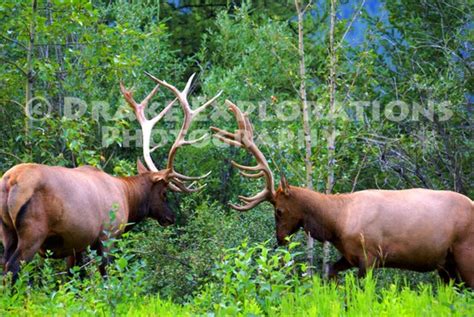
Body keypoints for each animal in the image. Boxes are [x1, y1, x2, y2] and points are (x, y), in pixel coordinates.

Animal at [0, 73, 222, 280]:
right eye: (164, 193)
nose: (171, 217)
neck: (127, 197)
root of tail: (11, 182)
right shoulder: (108, 235)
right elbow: (105, 275)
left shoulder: (76, 245)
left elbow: (74, 278)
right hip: (33, 231)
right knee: (12, 267)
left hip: (7, 232)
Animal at [213, 100, 474, 286]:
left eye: (279, 210)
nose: (280, 239)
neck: (336, 223)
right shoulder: (349, 256)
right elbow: (328, 272)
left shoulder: (371, 256)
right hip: (446, 265)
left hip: (465, 252)